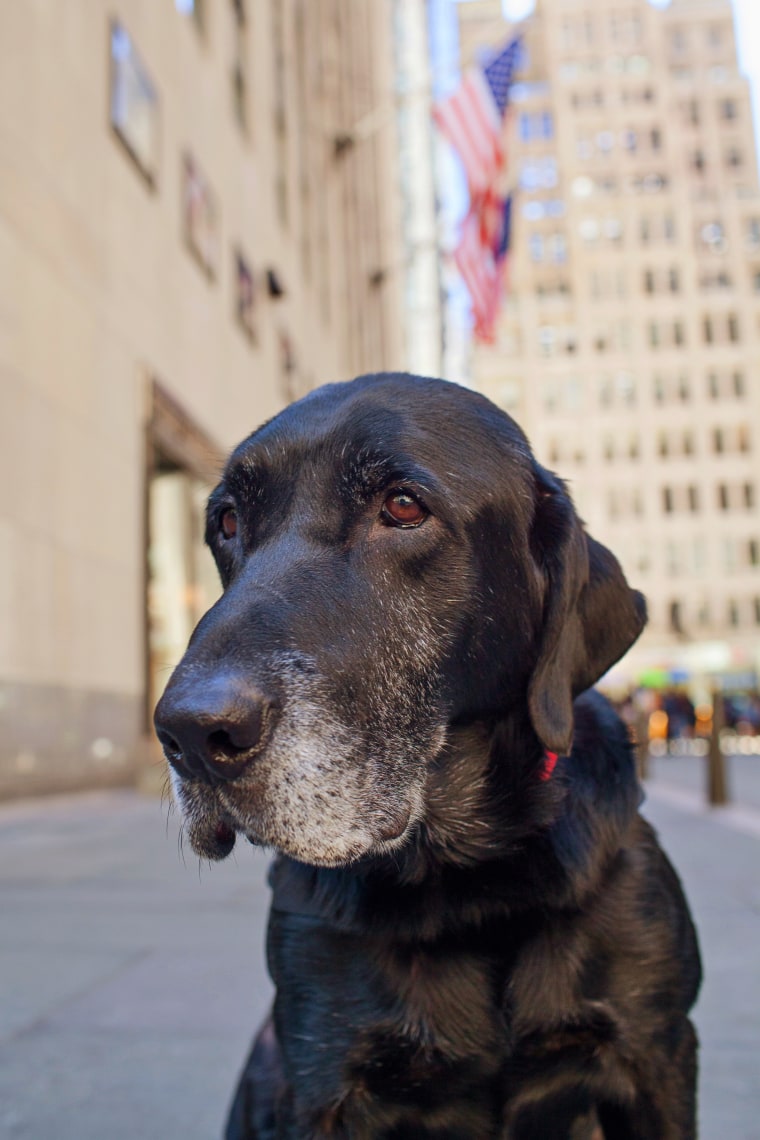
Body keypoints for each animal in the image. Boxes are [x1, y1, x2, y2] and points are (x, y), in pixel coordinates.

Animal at [154, 376, 701, 1140]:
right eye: (228, 522)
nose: (191, 732)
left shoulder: (657, 1054)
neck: (468, 880)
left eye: (404, 507)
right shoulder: (321, 1081)